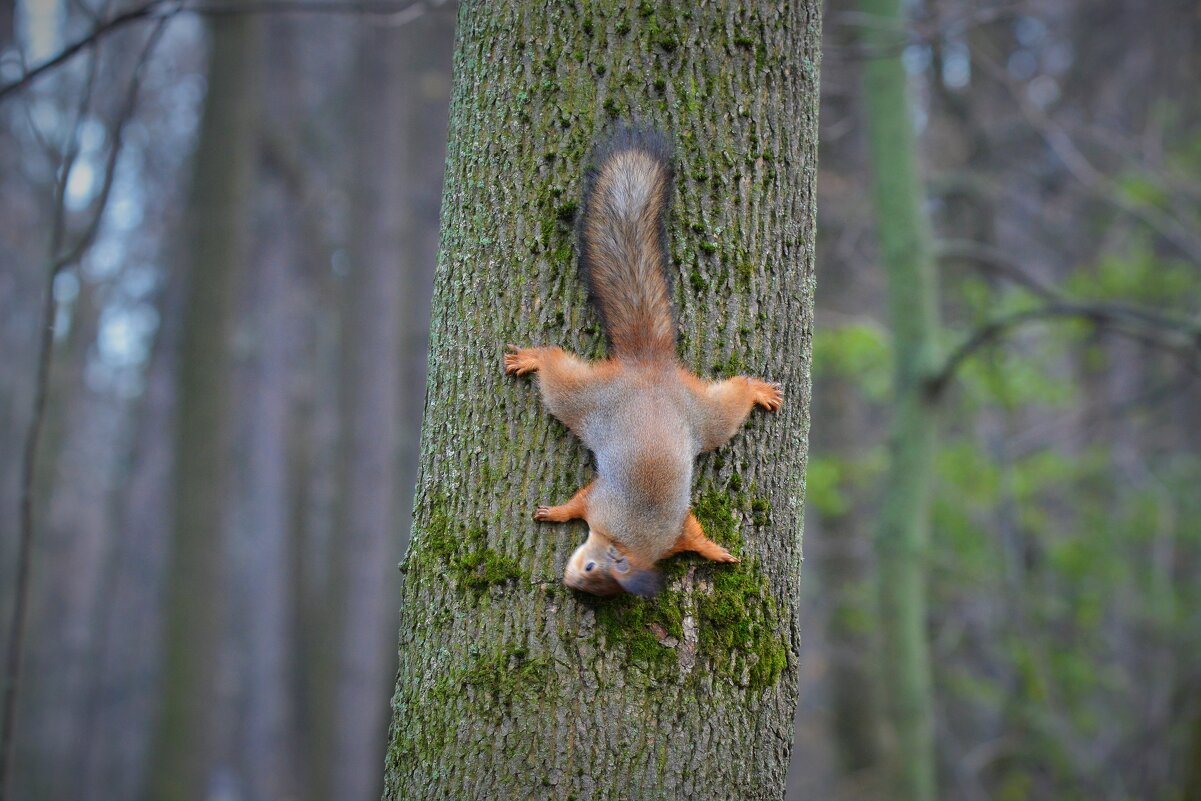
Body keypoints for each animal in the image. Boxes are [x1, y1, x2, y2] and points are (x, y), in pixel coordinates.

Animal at [502, 125, 783, 598]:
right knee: (556, 368)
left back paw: (758, 389)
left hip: (697, 414)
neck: (632, 539)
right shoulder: (602, 502)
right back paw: (533, 358)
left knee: (733, 396)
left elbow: (692, 534)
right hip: (598, 400)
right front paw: (556, 512)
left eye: (594, 577)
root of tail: (650, 367)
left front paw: (714, 551)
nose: (571, 582)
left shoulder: (662, 530)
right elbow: (578, 503)